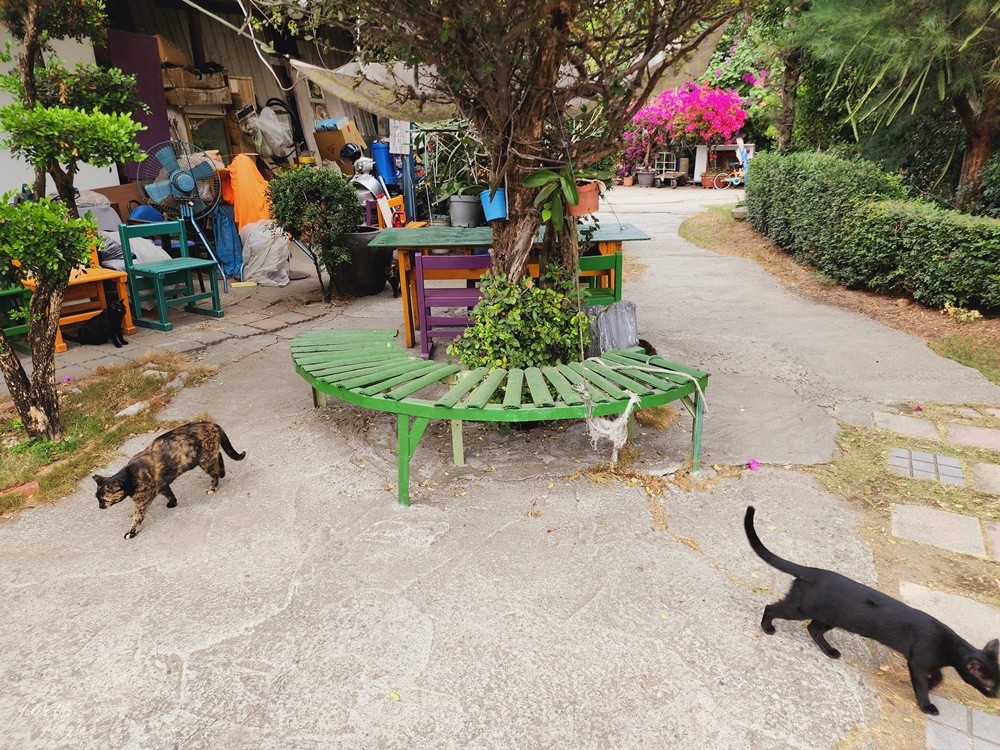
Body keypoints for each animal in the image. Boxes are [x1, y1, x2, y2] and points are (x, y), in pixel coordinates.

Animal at [94, 424, 246, 540]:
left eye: (103, 499)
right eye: (97, 498)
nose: (100, 507)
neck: (131, 475)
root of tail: (211, 424)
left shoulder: (142, 503)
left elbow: (136, 519)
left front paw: (130, 533)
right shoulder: (163, 486)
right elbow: (170, 494)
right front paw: (173, 503)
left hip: (204, 460)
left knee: (215, 472)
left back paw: (213, 486)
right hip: (206, 457)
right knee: (219, 455)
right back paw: (222, 472)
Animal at [748, 506, 996, 716]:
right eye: (991, 684)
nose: (995, 696)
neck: (948, 646)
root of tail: (812, 571)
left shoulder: (927, 662)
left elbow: (938, 676)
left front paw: (934, 684)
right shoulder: (917, 661)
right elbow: (922, 685)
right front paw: (927, 705)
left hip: (830, 617)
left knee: (813, 629)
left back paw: (830, 651)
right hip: (799, 608)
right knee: (771, 608)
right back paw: (768, 628)